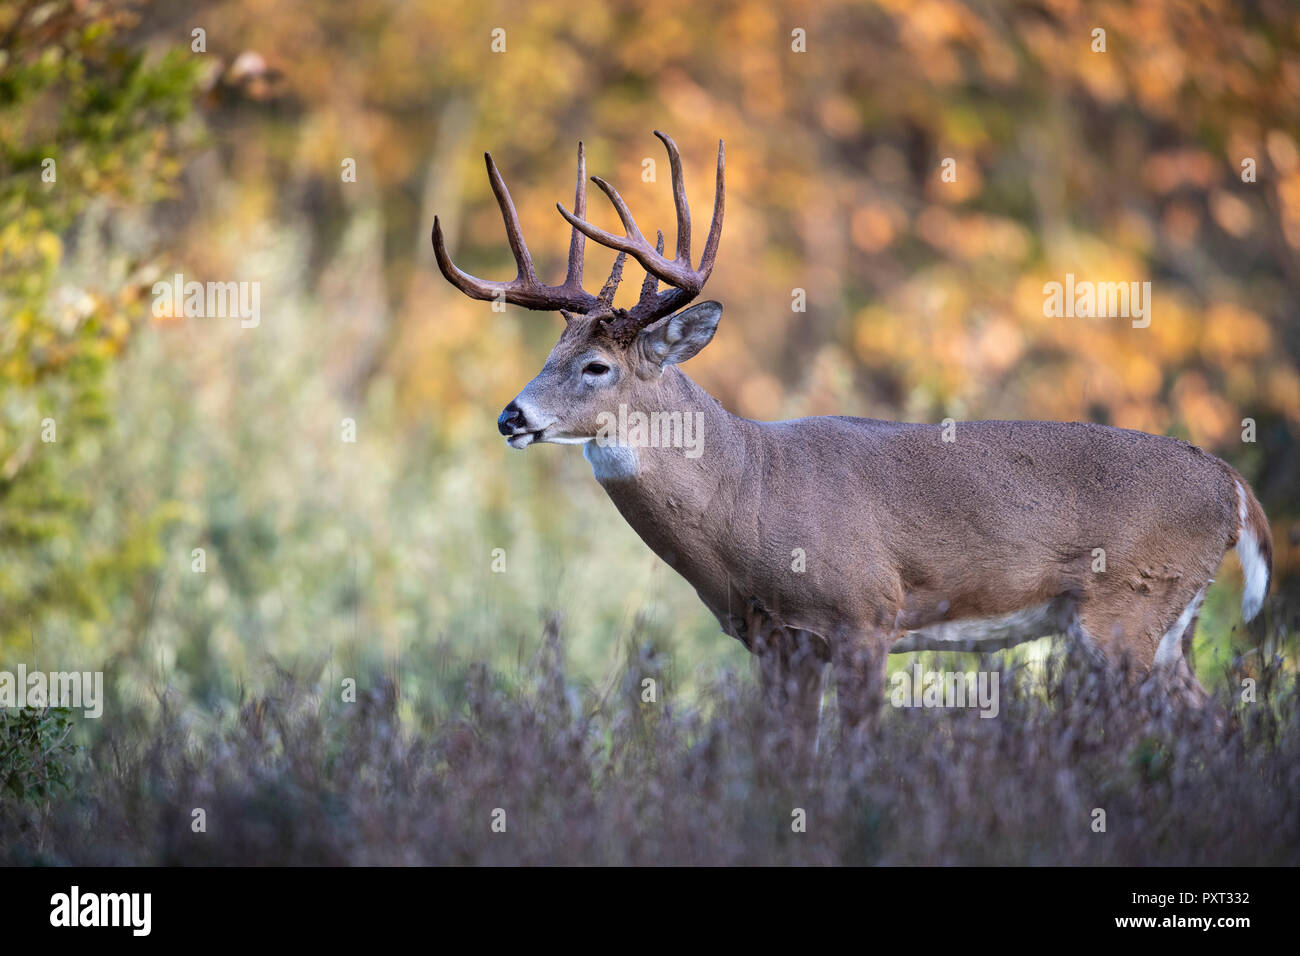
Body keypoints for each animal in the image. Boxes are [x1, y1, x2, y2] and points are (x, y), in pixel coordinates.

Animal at [431, 128, 1274, 738]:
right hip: (1168, 627)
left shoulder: (866, 615)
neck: (750, 495)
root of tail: (1231, 484)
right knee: (1215, 721)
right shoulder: (776, 642)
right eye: (549, 355)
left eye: (597, 365)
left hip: (1128, 608)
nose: (512, 416)